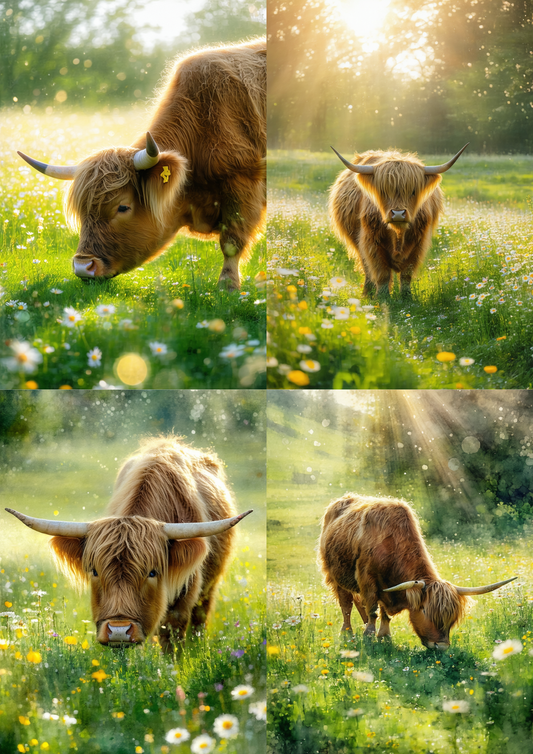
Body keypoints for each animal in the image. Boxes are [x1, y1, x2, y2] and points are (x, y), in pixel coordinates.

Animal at [6, 436, 252, 652]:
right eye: (95, 571)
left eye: (152, 573)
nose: (118, 631)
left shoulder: (184, 597)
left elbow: (172, 638)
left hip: (210, 587)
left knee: (200, 619)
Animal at [17, 39, 266, 291]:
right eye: (82, 211)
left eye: (122, 207)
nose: (83, 267)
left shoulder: (242, 186)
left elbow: (231, 242)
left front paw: (228, 285)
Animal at [318, 494, 516, 650]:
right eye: (425, 611)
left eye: (451, 617)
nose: (441, 646)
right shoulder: (368, 580)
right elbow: (373, 608)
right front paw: (369, 636)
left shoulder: (386, 587)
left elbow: (383, 612)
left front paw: (383, 636)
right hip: (335, 575)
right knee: (346, 605)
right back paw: (347, 633)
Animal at [329, 144, 468, 299]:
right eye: (383, 191)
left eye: (413, 191)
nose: (398, 214)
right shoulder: (371, 242)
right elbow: (381, 273)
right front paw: (383, 298)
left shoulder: (418, 244)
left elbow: (407, 273)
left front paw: (406, 297)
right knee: (368, 269)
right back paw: (368, 294)